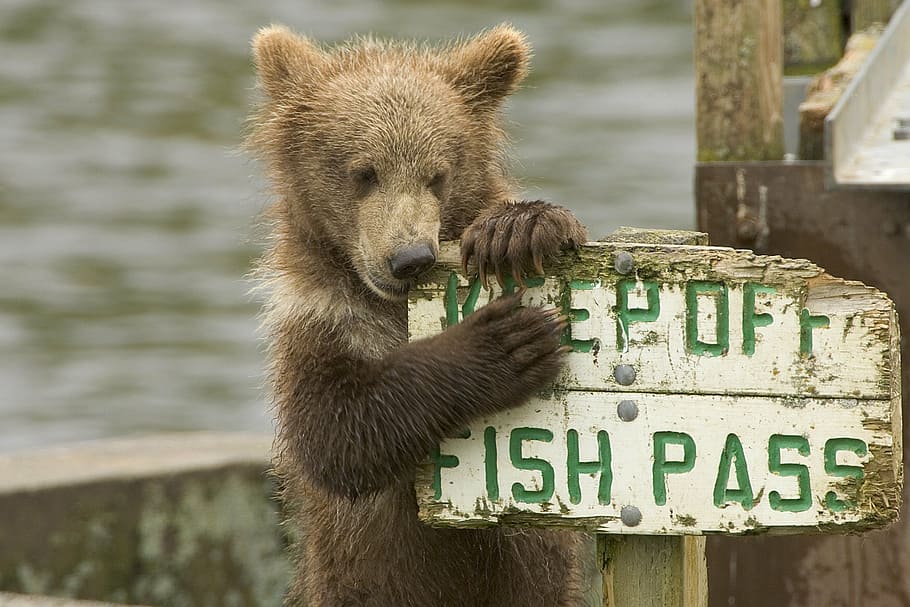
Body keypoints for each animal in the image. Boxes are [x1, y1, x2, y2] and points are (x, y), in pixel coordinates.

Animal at [247, 24, 590, 606]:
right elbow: (337, 433)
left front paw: (518, 230)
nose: (410, 258)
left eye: (437, 175)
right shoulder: (316, 319)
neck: (385, 305)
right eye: (365, 173)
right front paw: (508, 341)